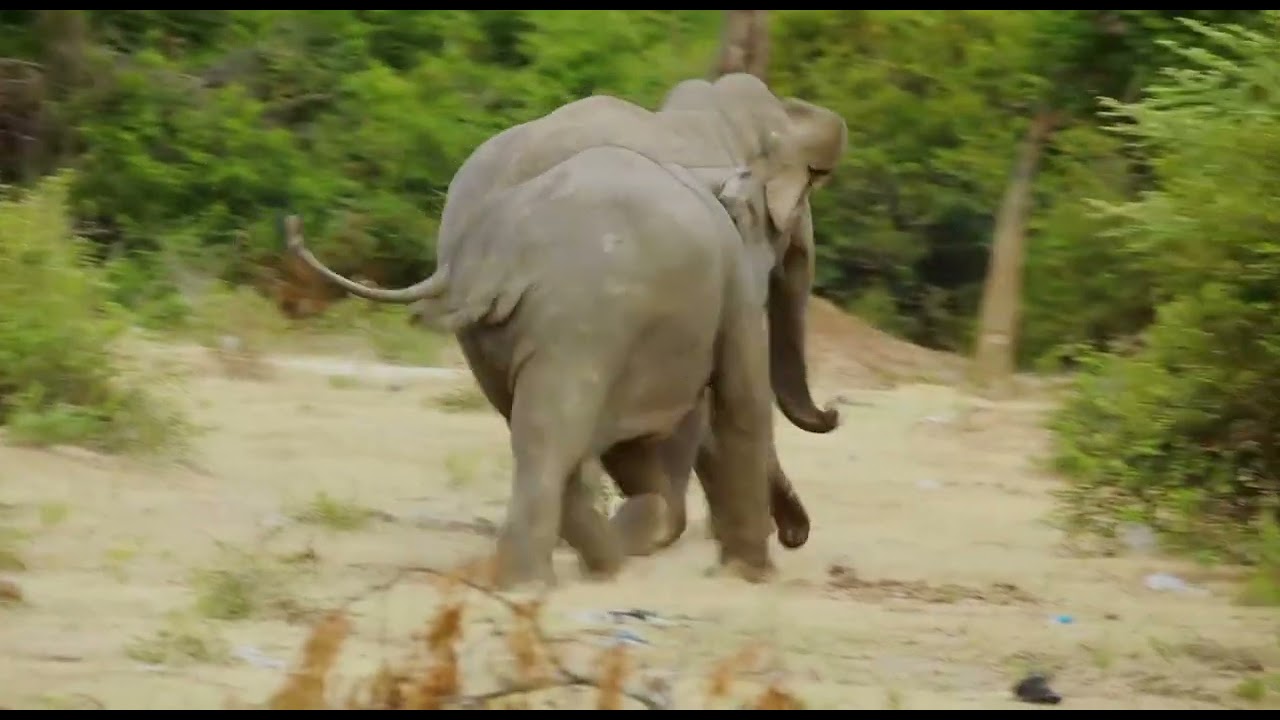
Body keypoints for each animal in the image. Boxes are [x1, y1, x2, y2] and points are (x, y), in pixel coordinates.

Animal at [284, 74, 848, 587]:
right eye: (793, 224)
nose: (834, 411)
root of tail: (492, 249)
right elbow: (734, 402)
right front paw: (744, 570)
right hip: (582, 323)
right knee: (560, 437)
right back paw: (569, 564)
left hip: (504, 333)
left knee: (541, 432)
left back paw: (582, 558)